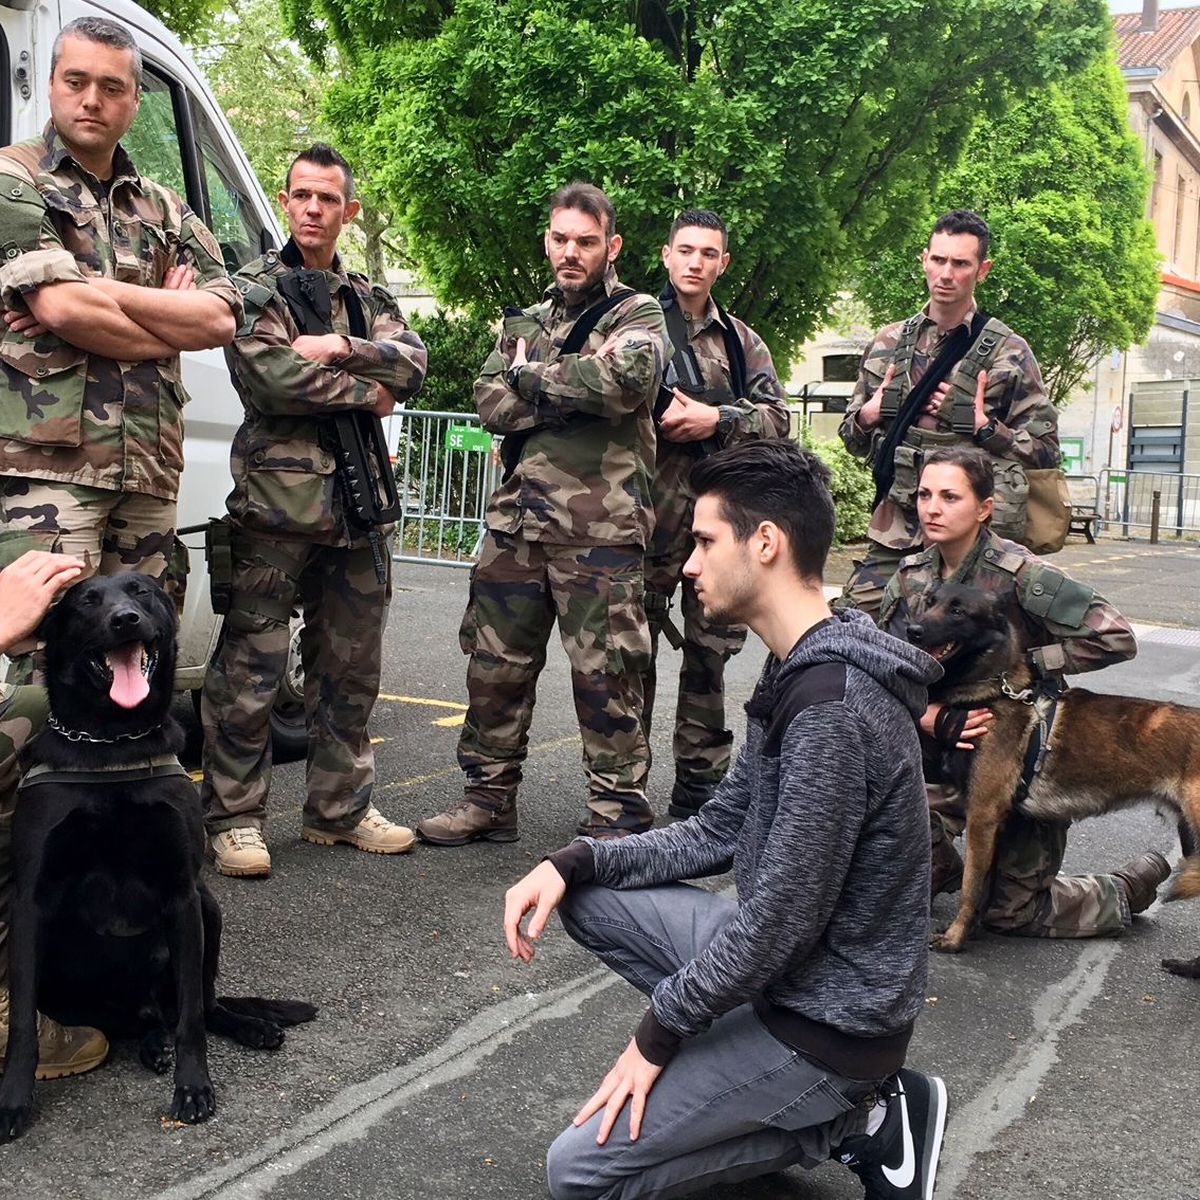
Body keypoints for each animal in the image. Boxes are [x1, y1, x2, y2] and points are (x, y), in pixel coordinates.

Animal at [0, 576, 314, 1137]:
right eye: (86, 600)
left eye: (140, 592)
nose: (125, 619)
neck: (112, 743)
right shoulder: (29, 905)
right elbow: (22, 1025)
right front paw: (15, 1100)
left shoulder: (183, 897)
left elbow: (192, 1017)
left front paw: (194, 1088)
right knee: (137, 1022)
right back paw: (153, 1044)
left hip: (211, 910)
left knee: (203, 1005)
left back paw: (248, 1028)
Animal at [902, 580, 1195, 955]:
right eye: (930, 602)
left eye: (958, 611)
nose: (913, 630)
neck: (993, 692)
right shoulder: (996, 820)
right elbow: (985, 884)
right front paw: (973, 931)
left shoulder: (982, 814)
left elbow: (970, 885)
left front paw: (954, 939)